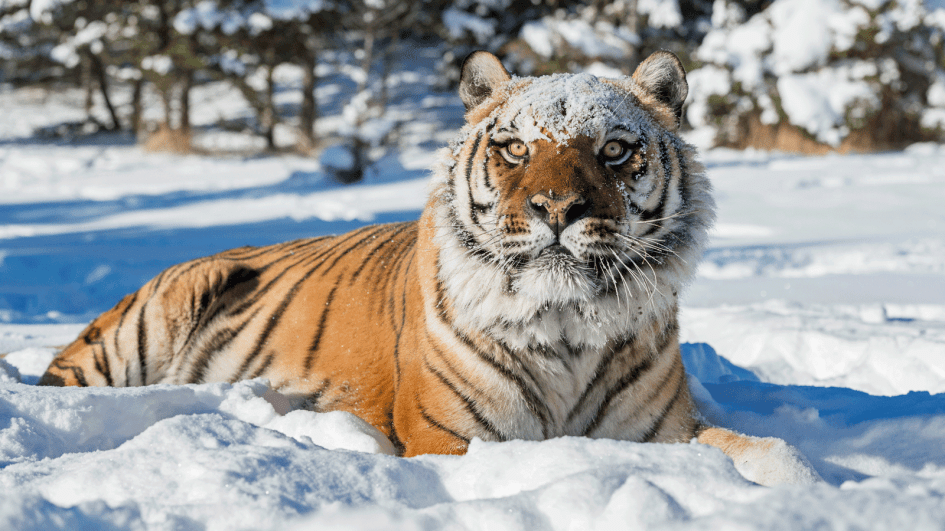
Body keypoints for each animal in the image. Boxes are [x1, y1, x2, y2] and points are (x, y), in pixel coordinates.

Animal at [40, 50, 820, 486]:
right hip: (143, 325)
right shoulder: (451, 435)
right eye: (515, 147)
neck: (567, 324)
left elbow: (775, 452)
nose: (557, 208)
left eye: (614, 150)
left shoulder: (662, 431)